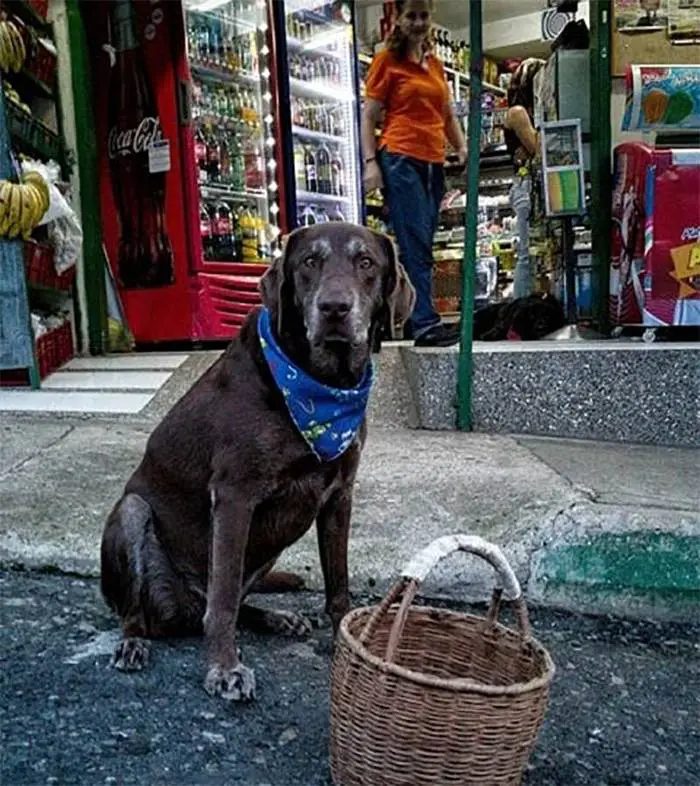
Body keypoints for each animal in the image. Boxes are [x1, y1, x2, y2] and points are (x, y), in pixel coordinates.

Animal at [99, 224, 416, 700]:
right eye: (309, 262)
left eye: (366, 263)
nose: (334, 308)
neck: (319, 383)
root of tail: (182, 607)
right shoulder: (235, 497)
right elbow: (224, 598)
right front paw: (224, 667)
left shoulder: (339, 496)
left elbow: (338, 586)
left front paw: (342, 643)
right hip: (134, 514)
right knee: (146, 613)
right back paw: (134, 642)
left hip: (272, 540)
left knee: (234, 601)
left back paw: (276, 617)